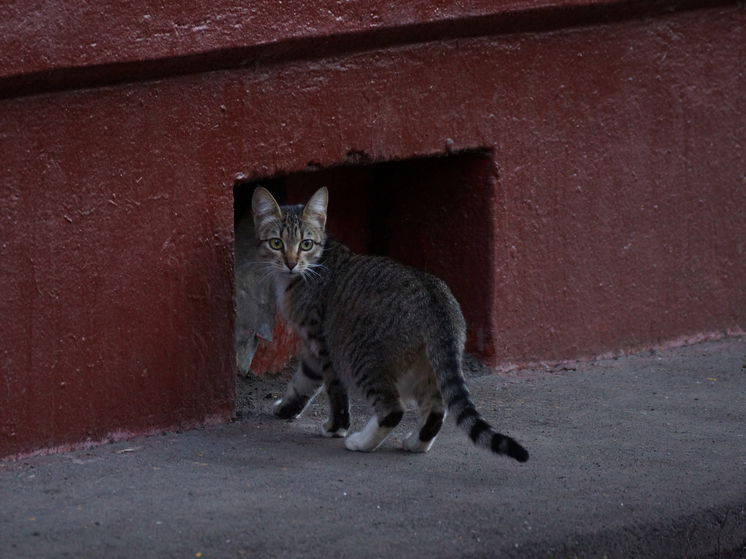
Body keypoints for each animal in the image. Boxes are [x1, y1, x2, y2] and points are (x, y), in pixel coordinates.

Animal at [253, 186, 528, 462]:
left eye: (306, 244)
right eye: (276, 243)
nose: (290, 263)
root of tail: (434, 298)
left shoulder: (321, 342)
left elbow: (334, 391)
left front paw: (336, 427)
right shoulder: (312, 351)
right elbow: (302, 382)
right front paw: (286, 409)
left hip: (364, 360)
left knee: (393, 409)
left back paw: (361, 442)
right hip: (429, 369)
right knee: (436, 409)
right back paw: (417, 442)